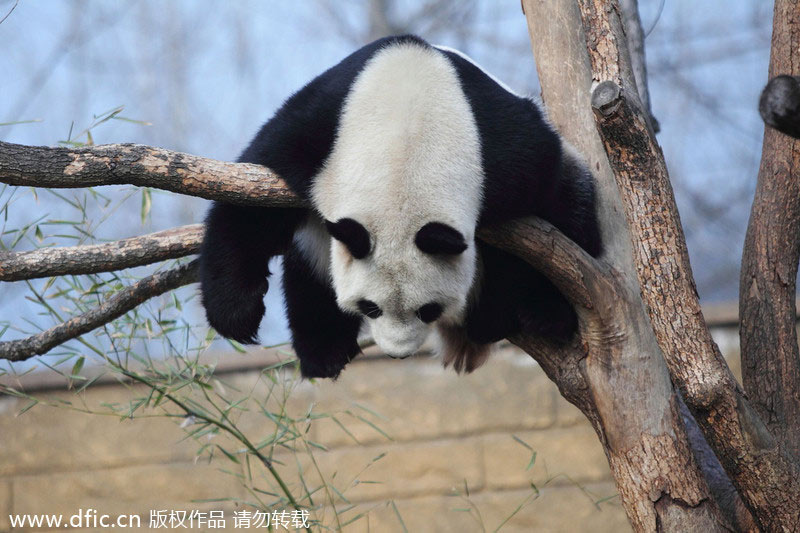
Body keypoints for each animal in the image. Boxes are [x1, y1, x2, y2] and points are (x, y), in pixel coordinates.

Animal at [199, 35, 602, 379]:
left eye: (429, 309)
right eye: (369, 307)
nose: (397, 353)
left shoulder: (509, 155)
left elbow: (556, 217)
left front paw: (550, 312)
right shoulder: (317, 131)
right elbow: (249, 205)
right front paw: (237, 315)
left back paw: (497, 319)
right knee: (311, 268)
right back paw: (324, 351)